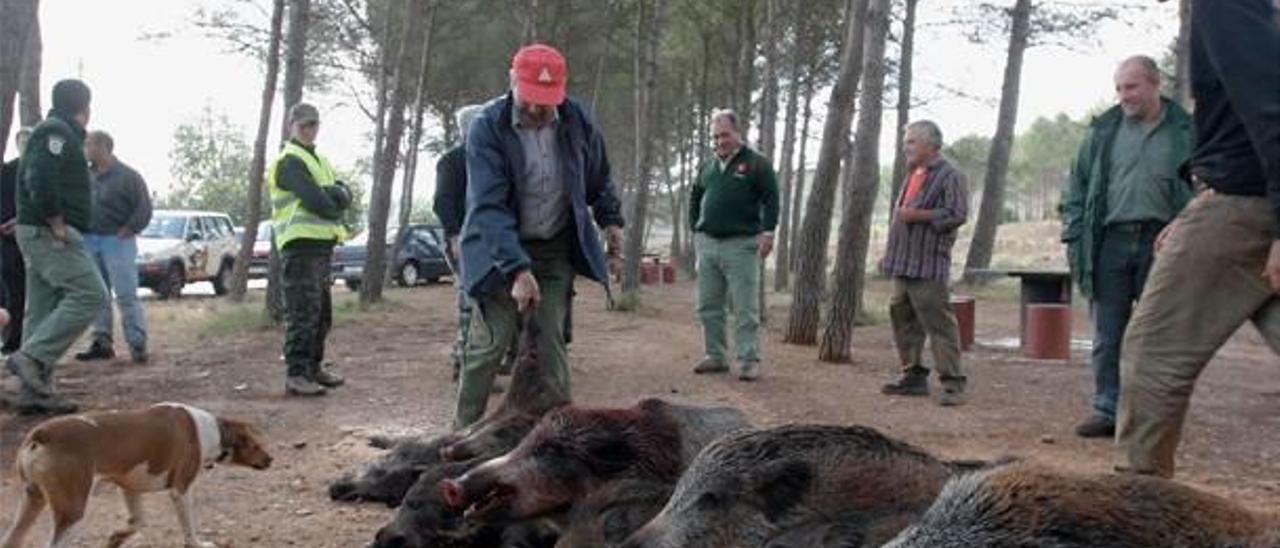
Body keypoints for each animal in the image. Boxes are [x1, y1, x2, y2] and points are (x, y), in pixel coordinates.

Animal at [1, 402, 272, 548]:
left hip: (31, 502)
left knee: (11, 540)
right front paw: (197, 542)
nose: (271, 459)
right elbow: (190, 530)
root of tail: (42, 434)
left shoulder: (129, 487)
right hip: (72, 511)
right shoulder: (180, 490)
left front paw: (116, 538)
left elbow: (137, 522)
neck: (210, 429)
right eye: (255, 444)